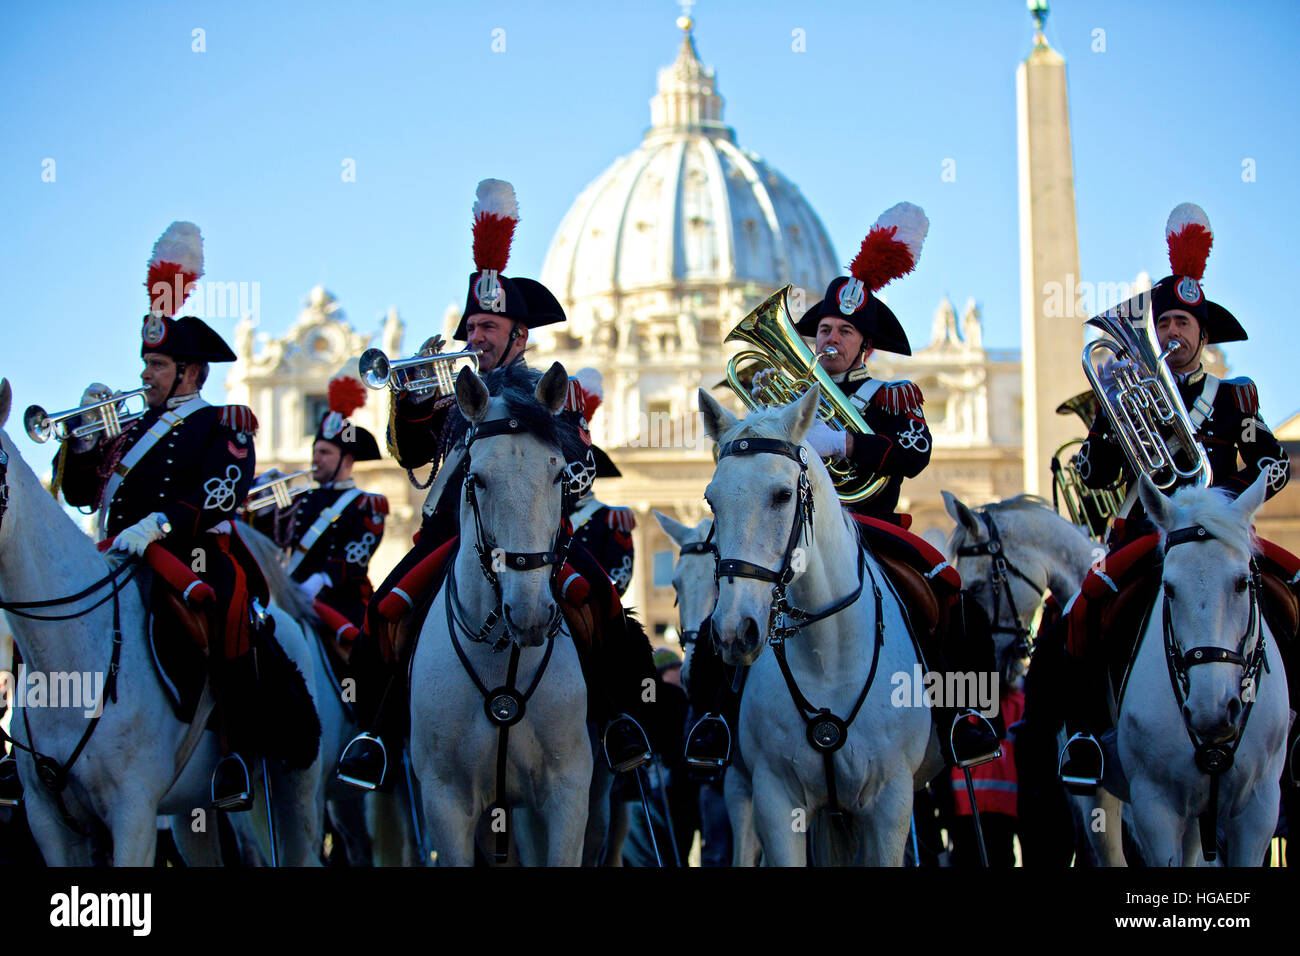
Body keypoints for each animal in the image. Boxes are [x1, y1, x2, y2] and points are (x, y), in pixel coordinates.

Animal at [702, 382, 935, 868]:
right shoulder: (775, 799)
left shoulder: (890, 805)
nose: (734, 632)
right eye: (711, 499)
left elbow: (910, 451)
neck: (827, 655)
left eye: (782, 495)